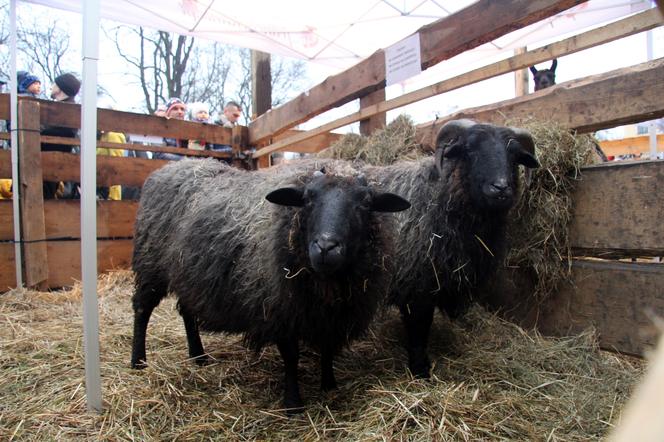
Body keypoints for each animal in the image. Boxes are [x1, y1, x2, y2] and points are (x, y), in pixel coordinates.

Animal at [130, 158, 410, 410]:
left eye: (365, 204)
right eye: (308, 199)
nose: (326, 247)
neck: (327, 283)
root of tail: (168, 167)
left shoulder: (332, 313)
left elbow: (328, 347)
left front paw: (329, 385)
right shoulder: (279, 308)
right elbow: (291, 356)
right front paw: (293, 404)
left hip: (188, 274)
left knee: (187, 311)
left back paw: (199, 357)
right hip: (150, 265)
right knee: (142, 310)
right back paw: (138, 362)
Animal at [366, 120, 544, 376]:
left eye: (515, 155)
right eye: (469, 150)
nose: (500, 188)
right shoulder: (417, 284)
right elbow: (419, 329)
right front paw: (420, 370)